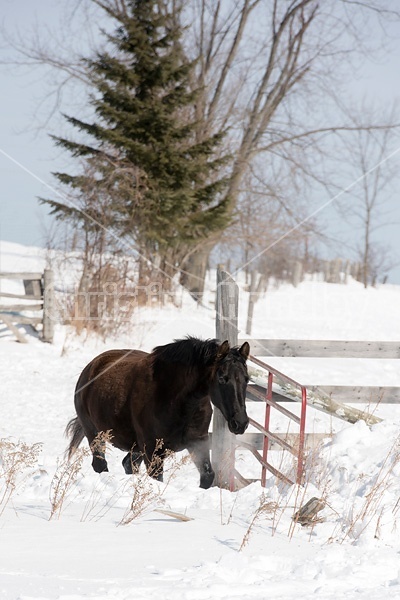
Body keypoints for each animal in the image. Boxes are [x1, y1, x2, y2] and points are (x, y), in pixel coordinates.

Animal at [65, 338, 248, 488]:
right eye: (222, 378)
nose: (241, 423)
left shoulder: (198, 442)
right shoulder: (152, 451)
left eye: (246, 378)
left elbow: (208, 476)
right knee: (100, 465)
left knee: (128, 464)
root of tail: (91, 368)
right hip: (95, 434)